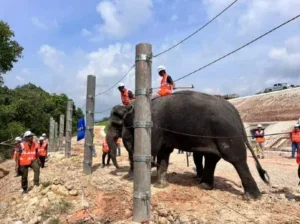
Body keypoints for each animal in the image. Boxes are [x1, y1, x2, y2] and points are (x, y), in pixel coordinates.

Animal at [109, 91, 268, 200]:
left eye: (116, 123)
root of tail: (235, 111)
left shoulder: (155, 126)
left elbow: (154, 149)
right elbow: (164, 152)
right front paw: (160, 185)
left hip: (226, 132)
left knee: (236, 159)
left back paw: (251, 197)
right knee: (213, 157)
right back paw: (204, 186)